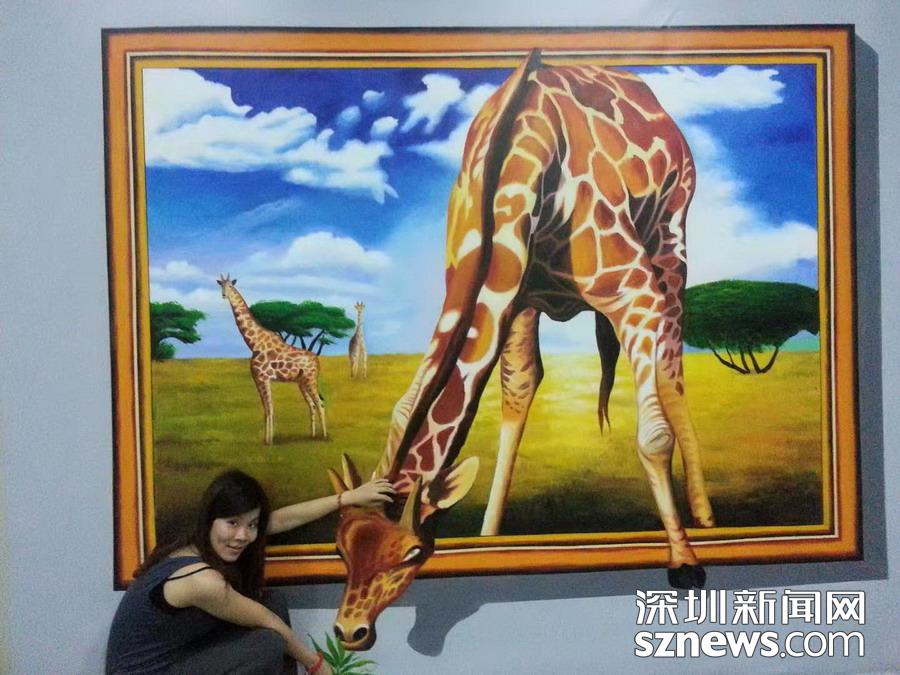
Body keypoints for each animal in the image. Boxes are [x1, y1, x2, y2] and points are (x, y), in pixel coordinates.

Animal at [217, 275, 327, 443]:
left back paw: (325, 436)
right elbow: (266, 409)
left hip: (310, 378)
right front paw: (267, 439)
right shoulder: (257, 379)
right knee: (312, 405)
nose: (224, 295)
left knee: (319, 403)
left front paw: (269, 441)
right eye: (221, 285)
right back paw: (312, 435)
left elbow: (270, 408)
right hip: (301, 382)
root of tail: (316, 360)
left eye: (230, 285)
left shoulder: (264, 378)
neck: (254, 343)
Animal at [328, 51, 715, 650]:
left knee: (672, 365)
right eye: (340, 546)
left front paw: (683, 560)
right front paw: (489, 536)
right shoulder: (509, 296)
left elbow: (652, 438)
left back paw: (704, 517)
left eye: (412, 553)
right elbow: (511, 391)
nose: (351, 632)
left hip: (670, 239)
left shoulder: (633, 290)